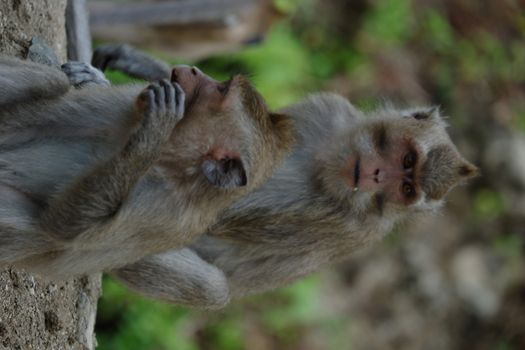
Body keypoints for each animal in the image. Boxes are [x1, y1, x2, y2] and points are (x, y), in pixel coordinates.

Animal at [0, 55, 292, 278]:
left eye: (221, 90)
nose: (195, 69)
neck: (170, 161)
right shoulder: (126, 103)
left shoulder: (163, 209)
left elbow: (63, 227)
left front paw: (153, 133)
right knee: (52, 81)